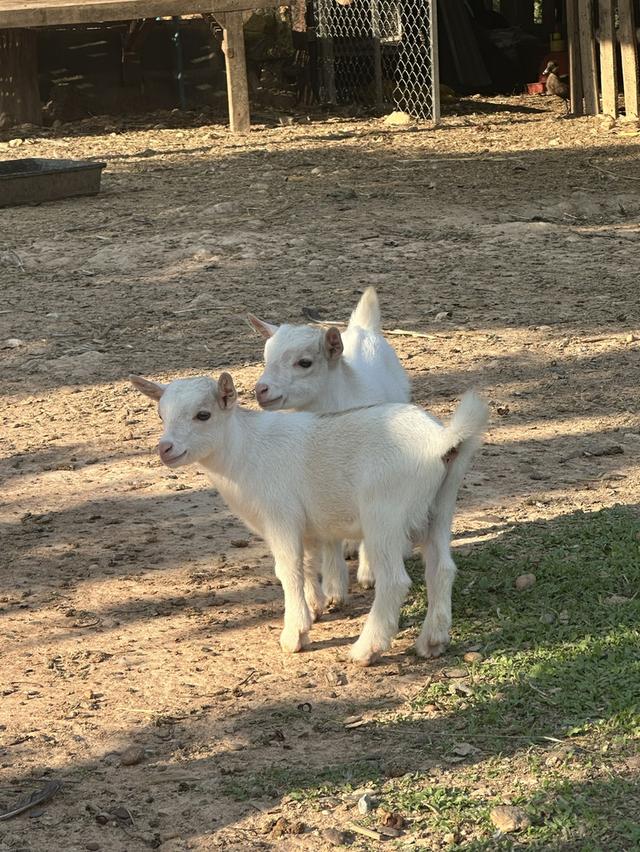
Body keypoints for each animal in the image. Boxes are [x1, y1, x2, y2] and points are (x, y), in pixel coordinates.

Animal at [130, 371, 488, 665]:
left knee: (394, 581)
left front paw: (295, 635)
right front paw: (316, 607)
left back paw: (365, 651)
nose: (165, 448)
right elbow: (307, 564)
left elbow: (287, 570)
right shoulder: (307, 526)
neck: (245, 451)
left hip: (384, 515)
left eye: (203, 414)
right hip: (439, 509)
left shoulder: (281, 517)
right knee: (441, 569)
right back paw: (433, 641)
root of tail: (442, 441)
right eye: (161, 415)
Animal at [248, 287, 411, 603]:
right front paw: (334, 588)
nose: (261, 390)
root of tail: (362, 328)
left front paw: (368, 575)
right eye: (265, 358)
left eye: (305, 362)